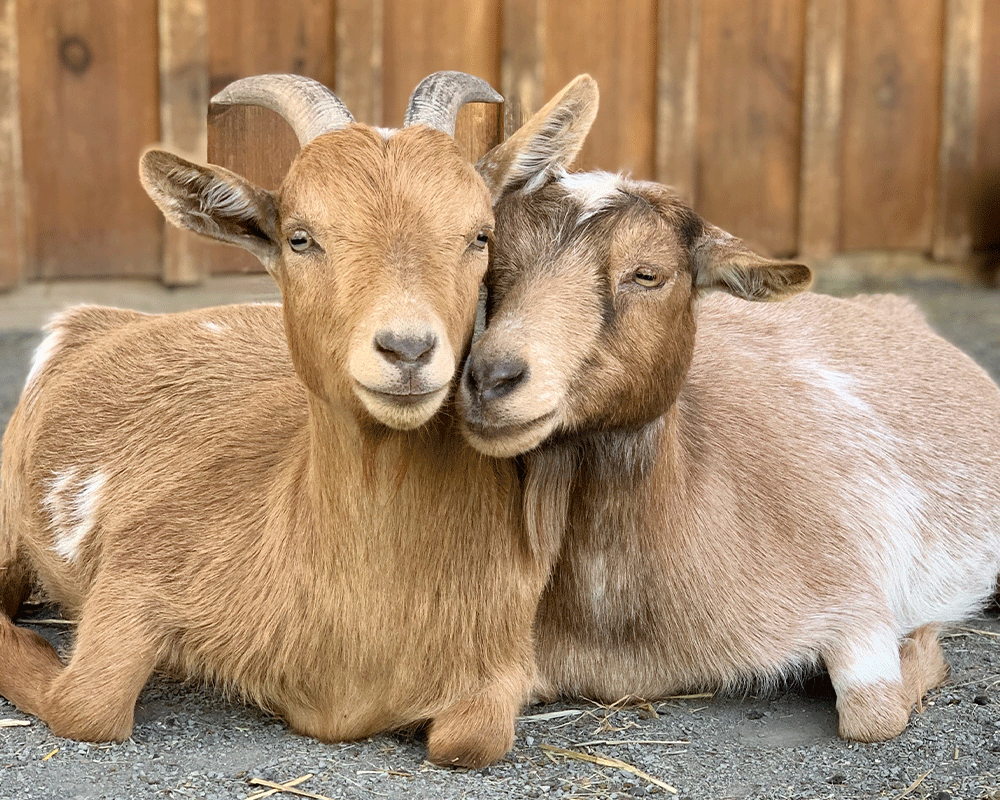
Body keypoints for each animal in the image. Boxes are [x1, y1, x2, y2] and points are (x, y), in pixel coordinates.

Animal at [0, 72, 596, 767]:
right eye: (300, 237)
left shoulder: (501, 656)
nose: (407, 349)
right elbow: (87, 705)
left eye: (481, 235)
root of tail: (92, 318)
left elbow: (470, 742)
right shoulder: (141, 566)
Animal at [459, 101, 1000, 742]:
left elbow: (873, 715)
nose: (492, 377)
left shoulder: (853, 596)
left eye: (647, 273)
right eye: (495, 262)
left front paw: (924, 644)